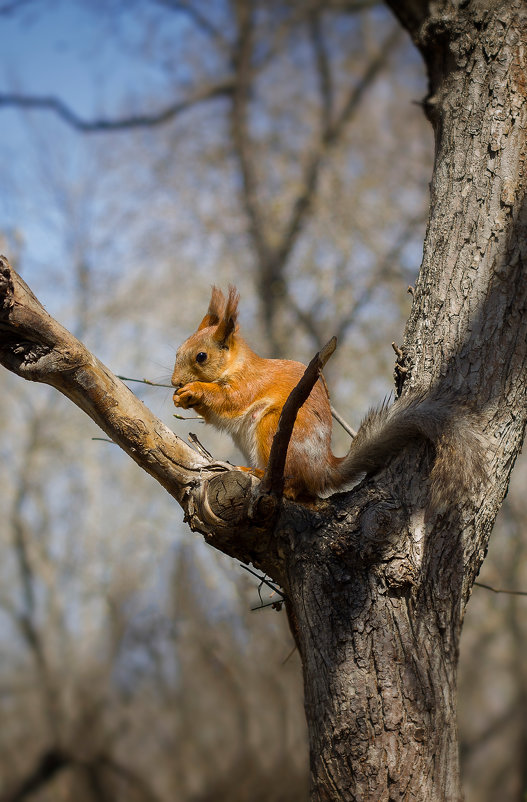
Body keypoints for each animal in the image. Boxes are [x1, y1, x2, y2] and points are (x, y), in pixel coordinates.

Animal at [173, 284, 486, 504]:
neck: (236, 366)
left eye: (201, 356)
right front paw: (181, 398)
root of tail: (323, 469)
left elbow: (231, 399)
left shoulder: (251, 383)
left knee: (295, 484)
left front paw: (195, 390)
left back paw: (262, 476)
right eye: (178, 351)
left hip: (274, 428)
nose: (175, 381)